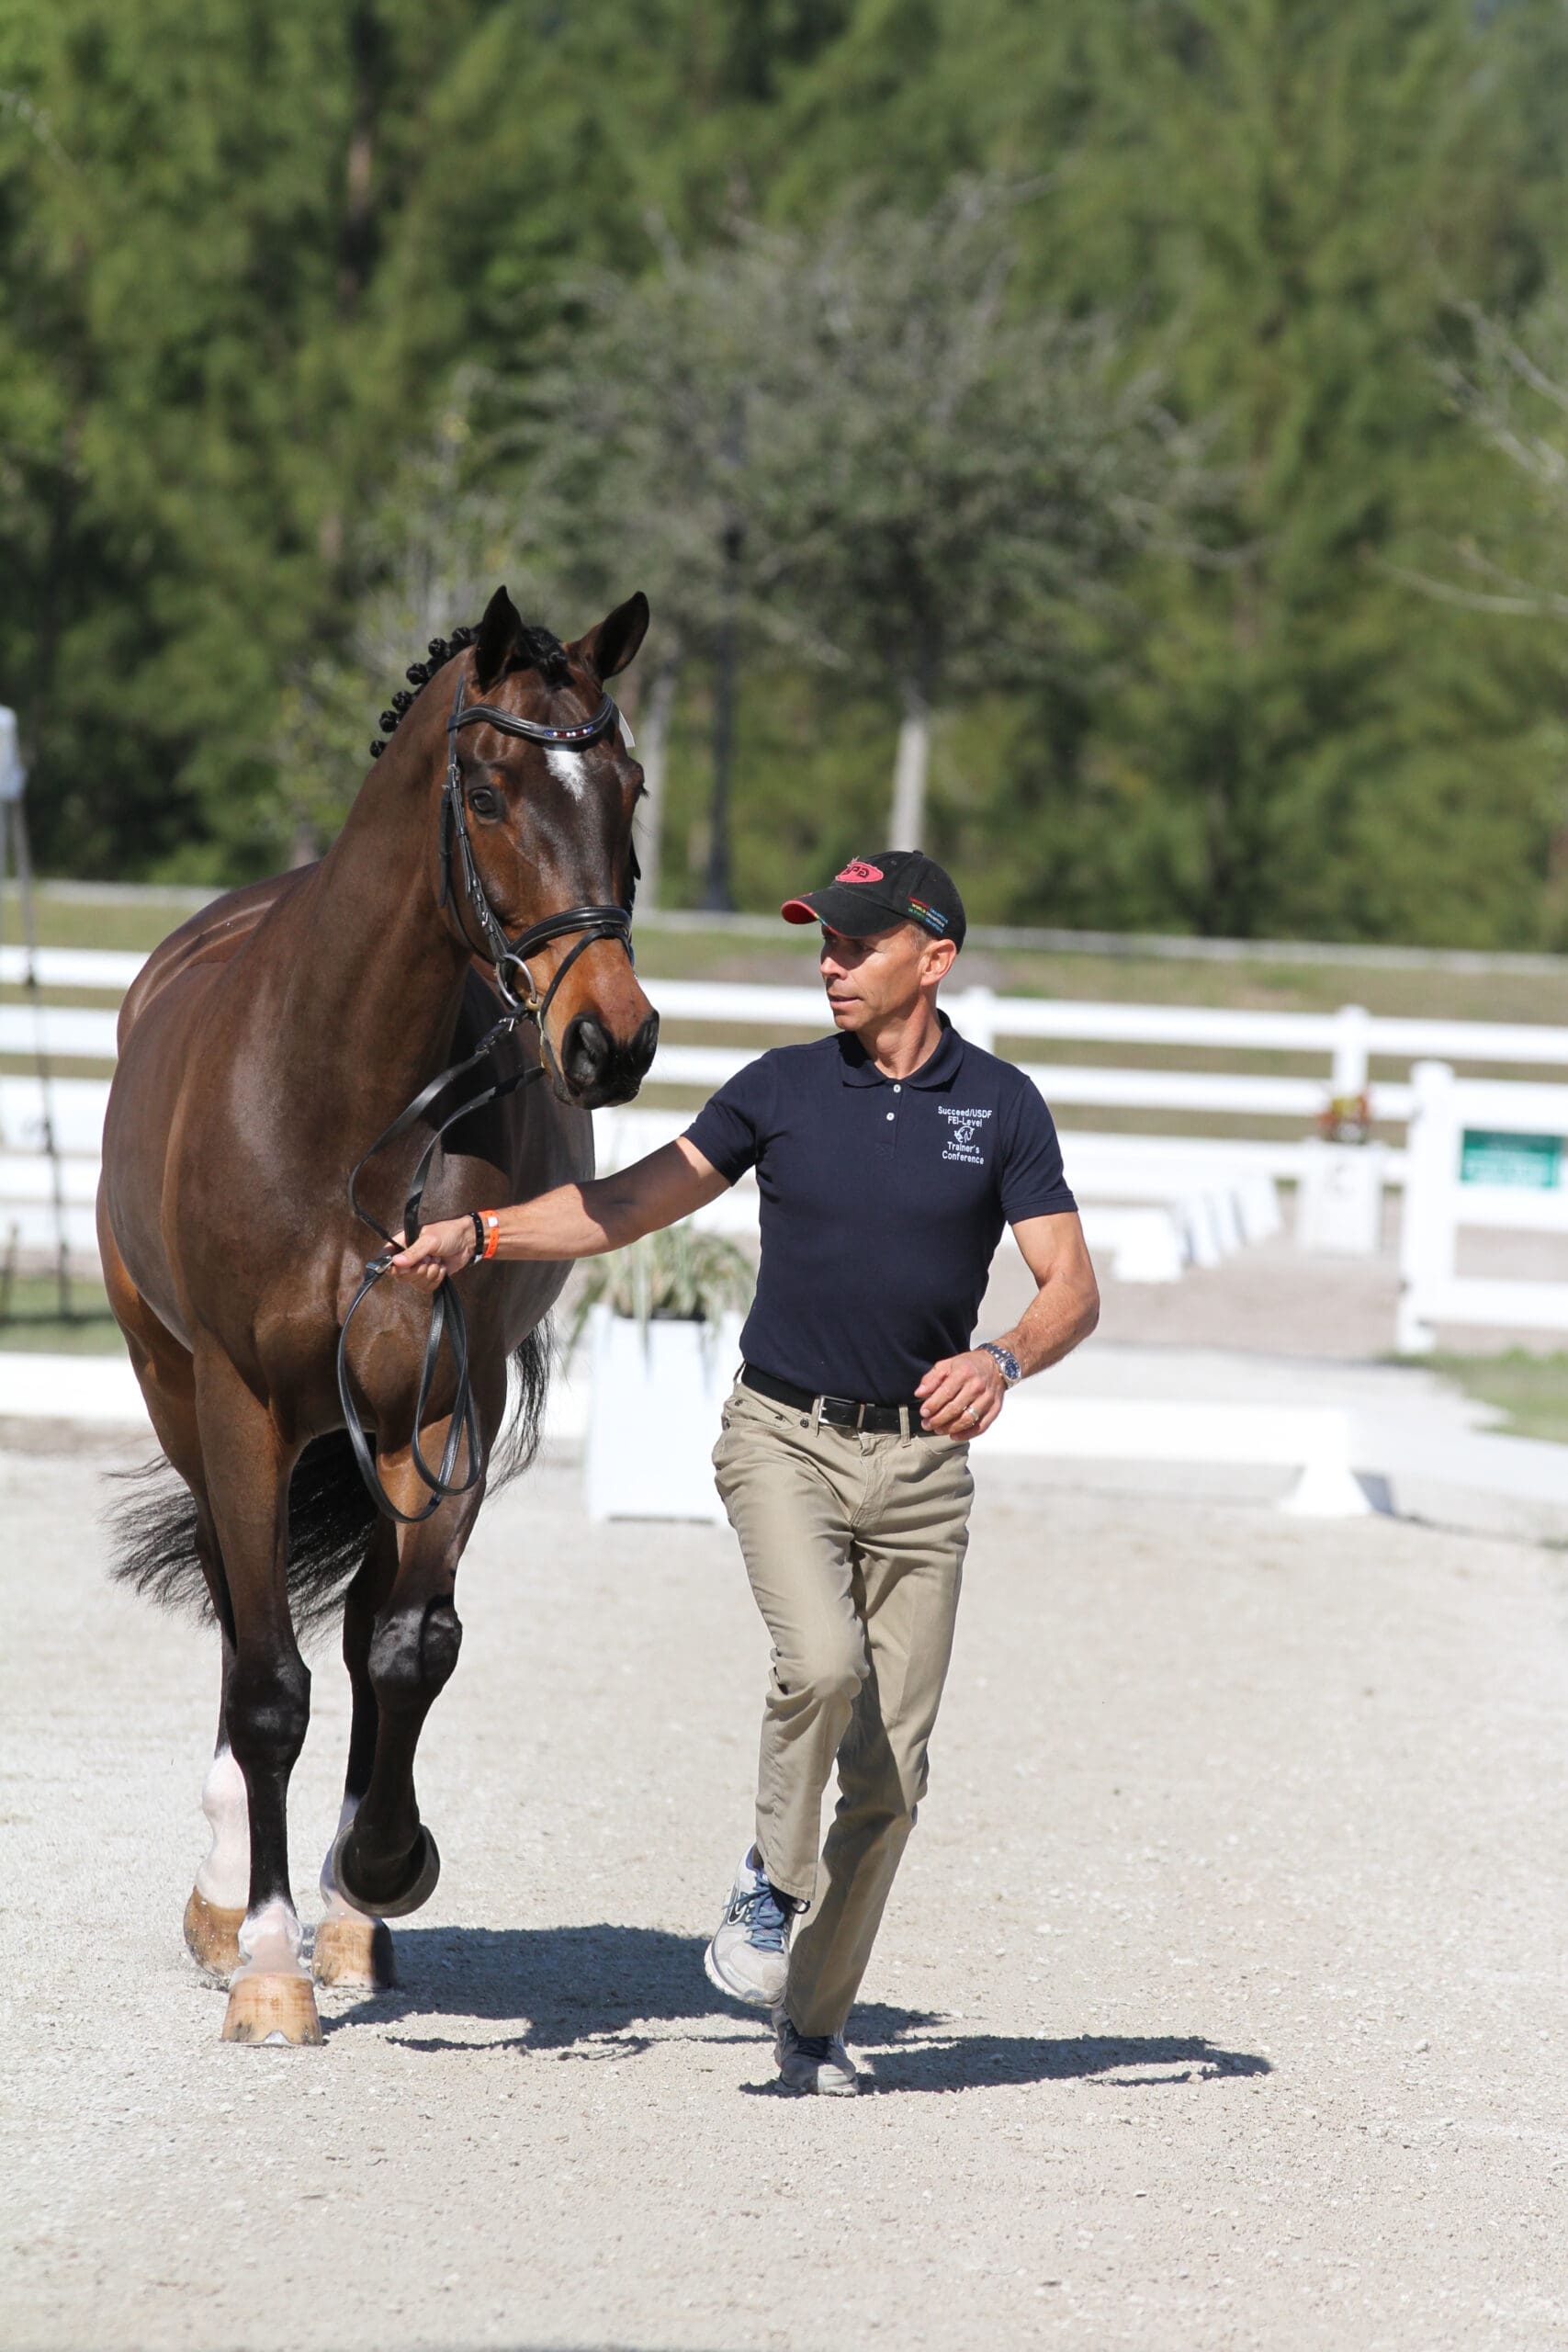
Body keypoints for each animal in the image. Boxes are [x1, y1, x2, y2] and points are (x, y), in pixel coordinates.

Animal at [97, 584, 658, 2046]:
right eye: (489, 787)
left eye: (629, 786)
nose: (613, 1040)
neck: (345, 1100)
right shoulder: (241, 1405)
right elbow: (266, 1685)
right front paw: (266, 1962)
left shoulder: (442, 1403)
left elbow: (405, 1648)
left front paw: (380, 1870)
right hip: (178, 1395)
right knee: (242, 1621)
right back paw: (225, 1903)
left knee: (357, 1634)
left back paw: (347, 1911)